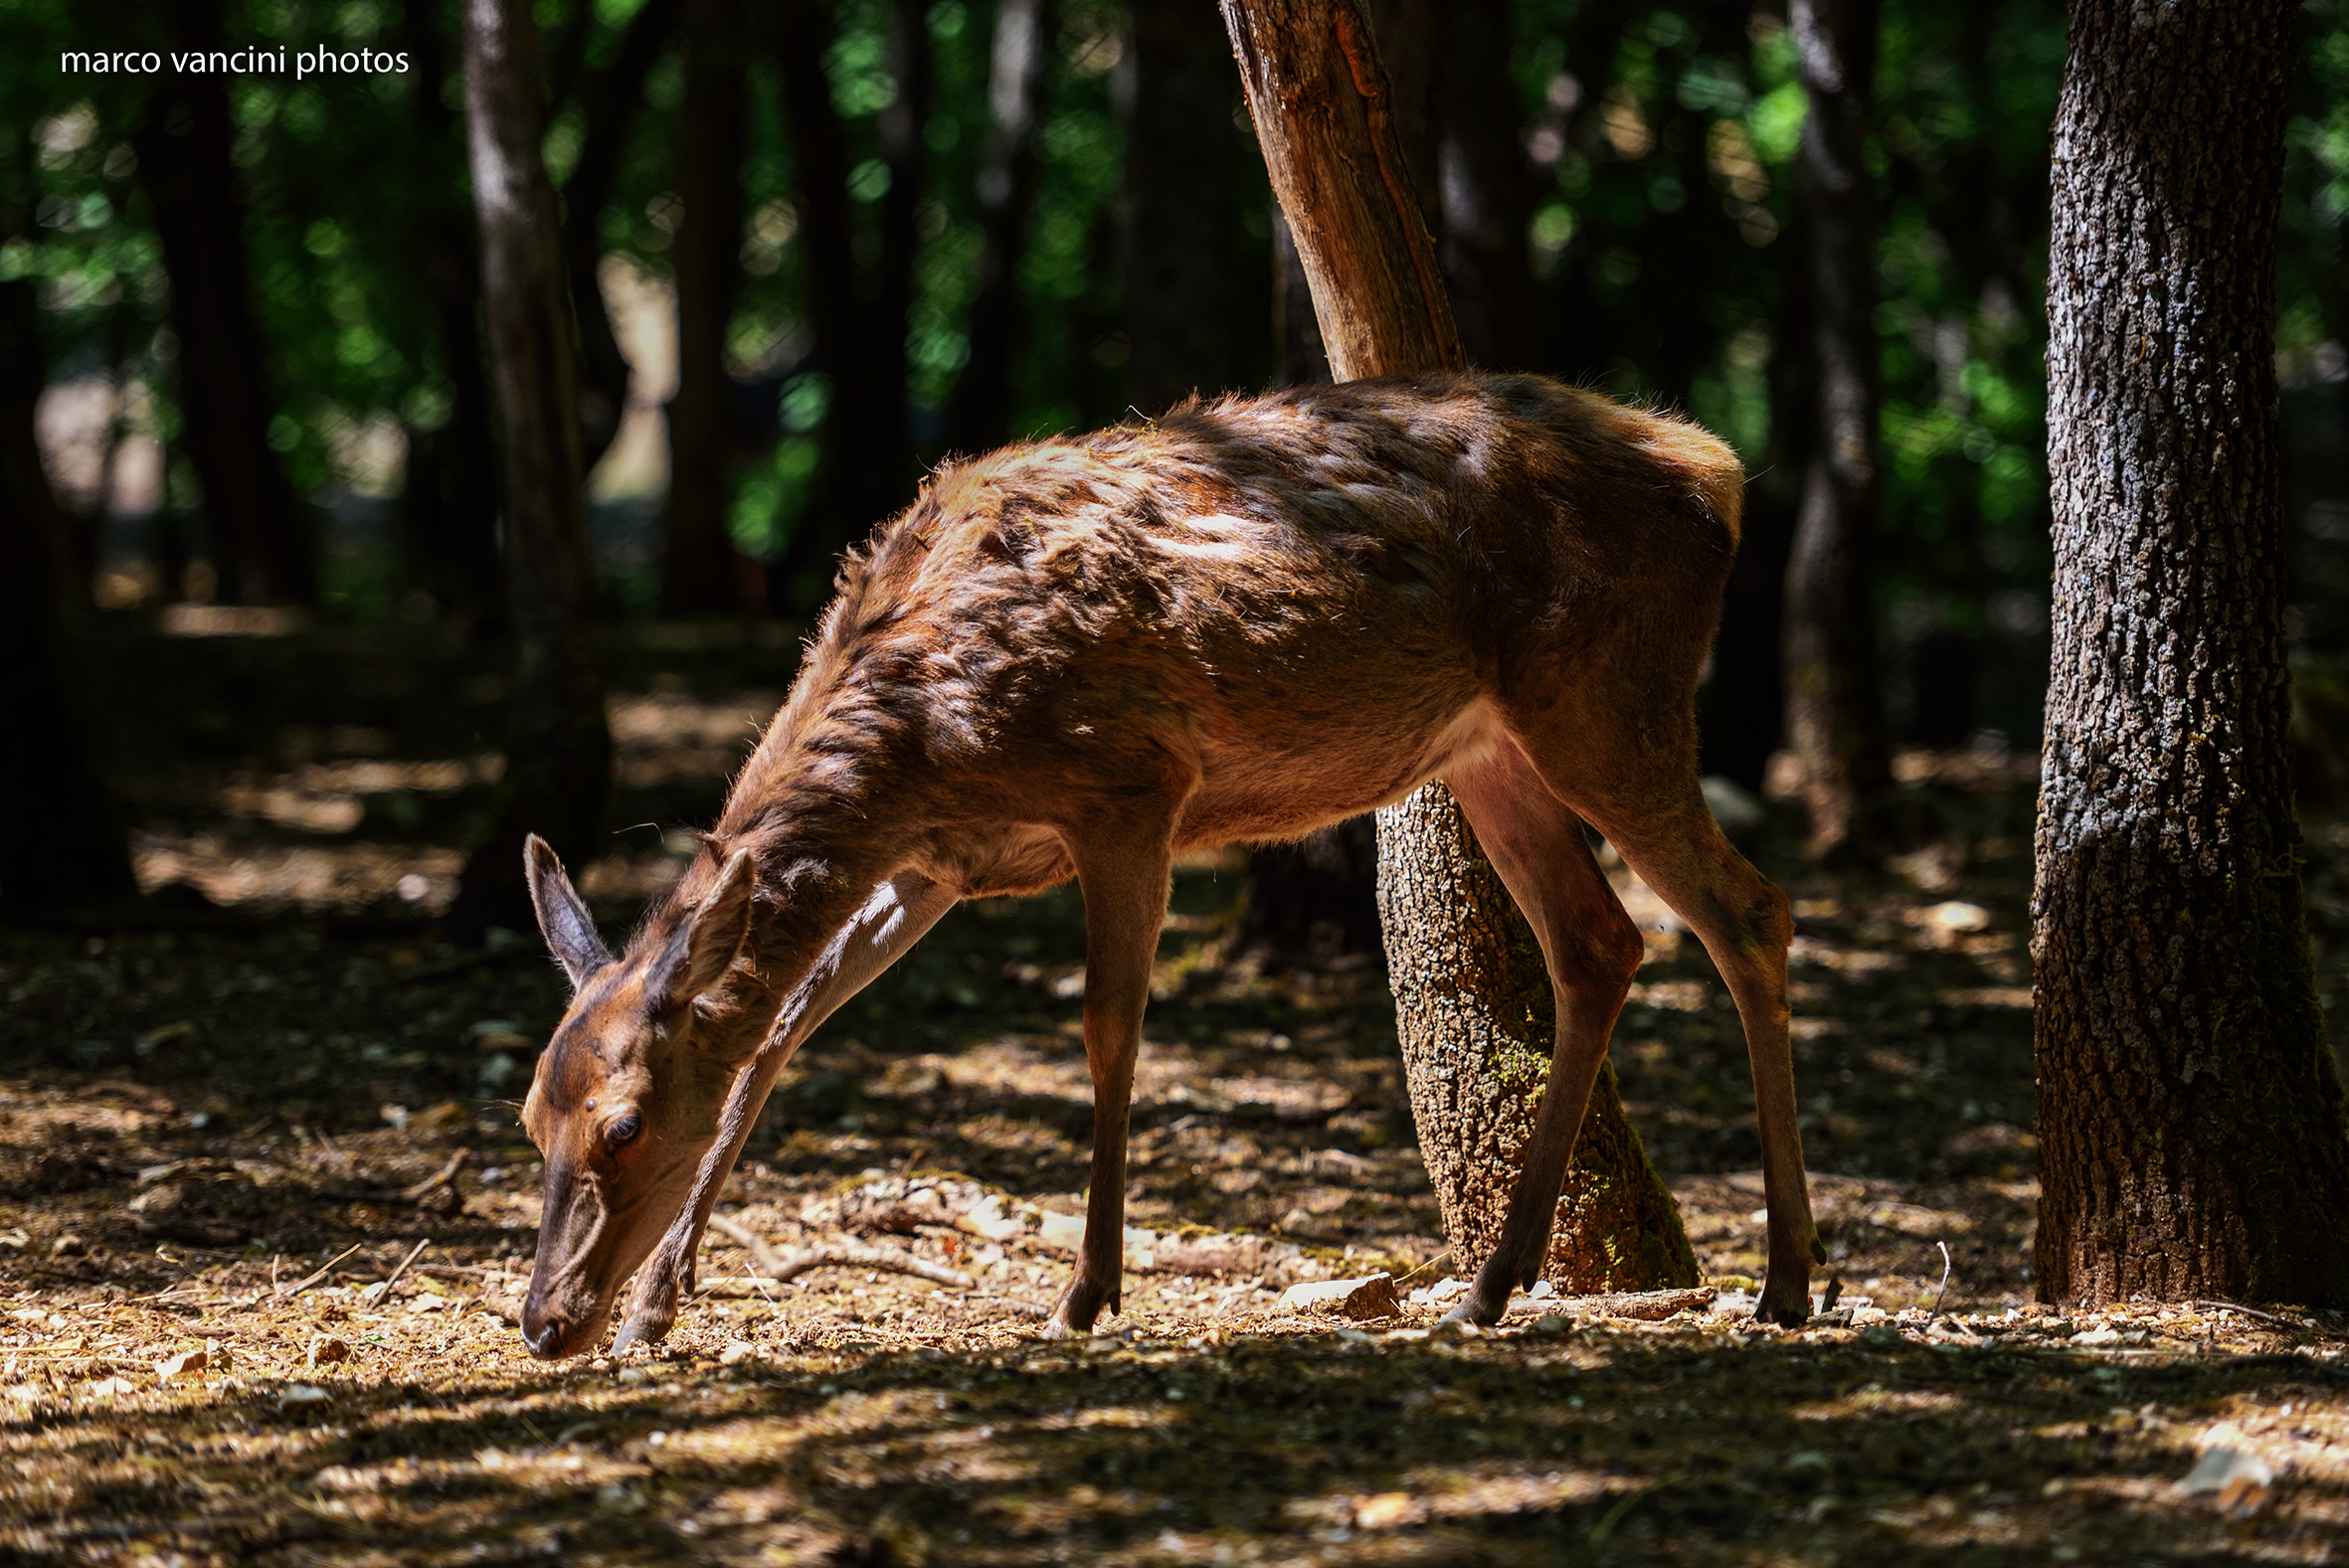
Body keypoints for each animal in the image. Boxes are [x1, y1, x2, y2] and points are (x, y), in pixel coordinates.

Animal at [514, 371, 1827, 1359]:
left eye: (624, 1125)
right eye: (532, 1117)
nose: (543, 1323)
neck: (921, 730)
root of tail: (1715, 470)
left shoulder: (1128, 785)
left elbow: (1107, 1026)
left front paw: (1087, 1289)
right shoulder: (942, 860)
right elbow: (780, 1030)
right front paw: (656, 1305)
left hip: (1610, 694)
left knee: (1747, 909)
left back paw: (1785, 1280)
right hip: (1488, 746)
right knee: (1601, 938)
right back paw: (1490, 1284)